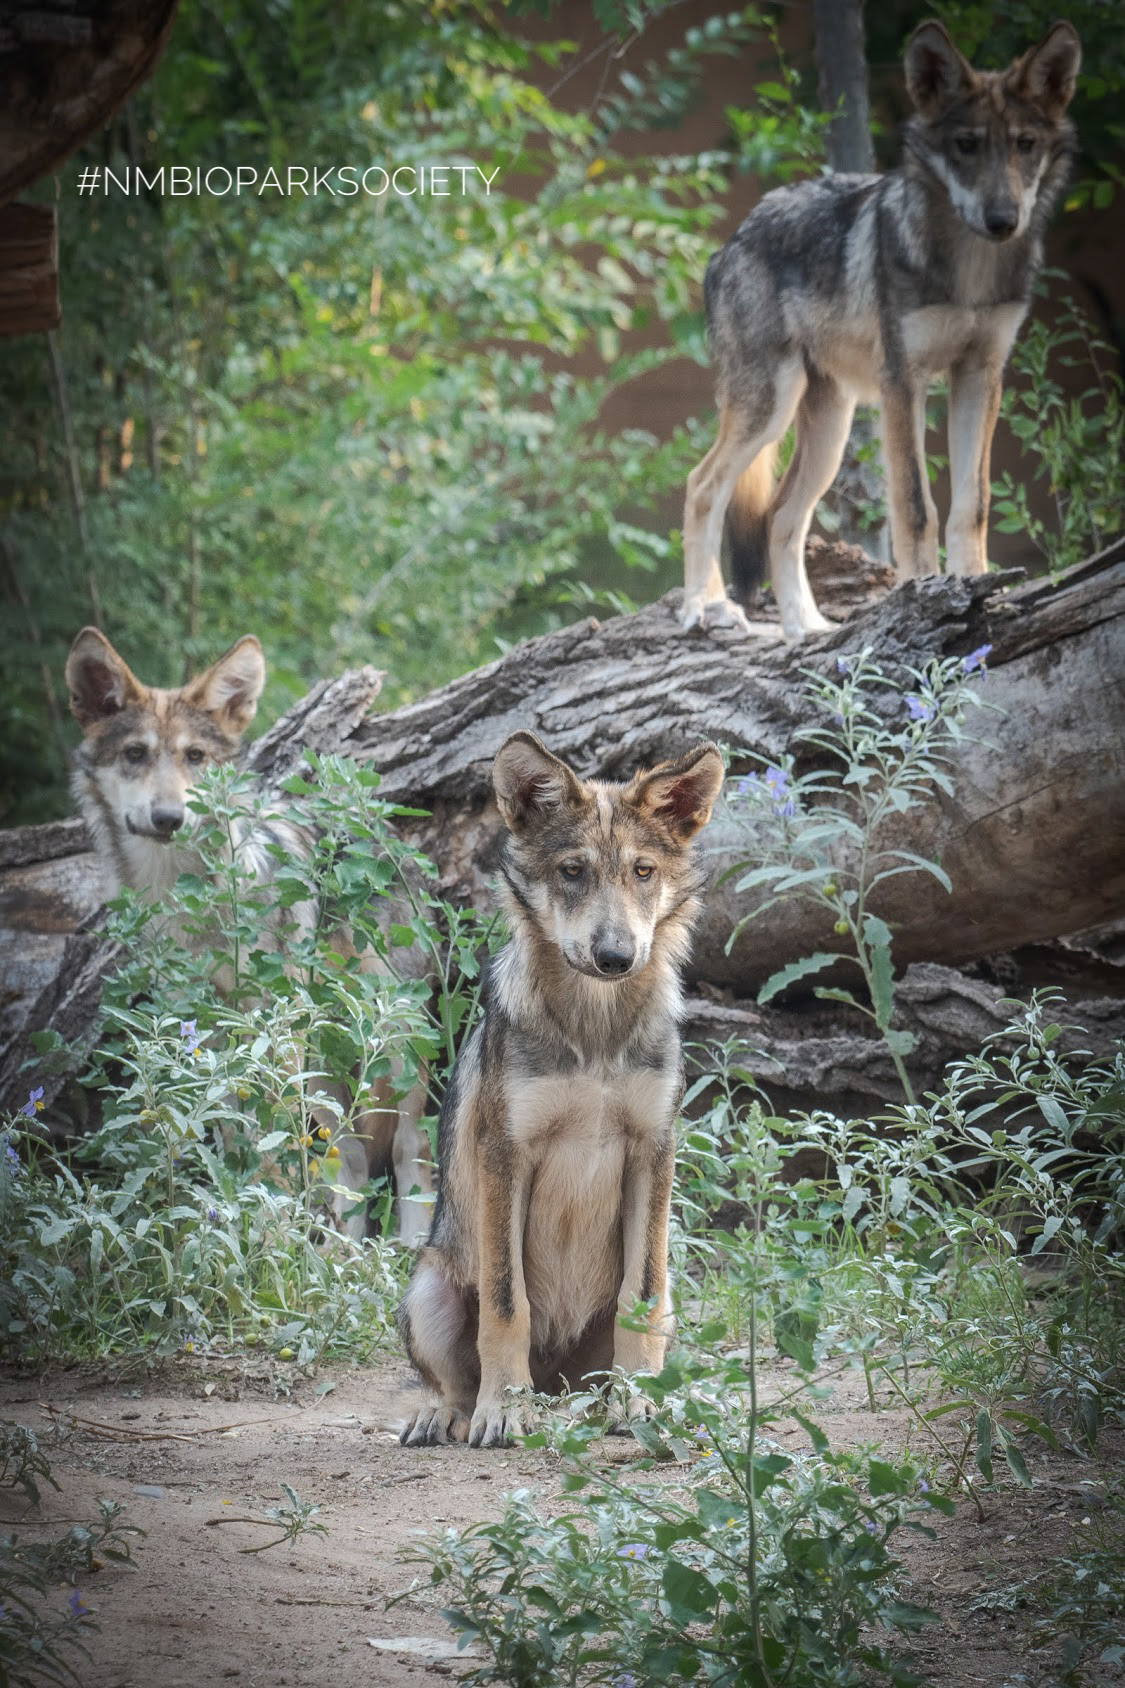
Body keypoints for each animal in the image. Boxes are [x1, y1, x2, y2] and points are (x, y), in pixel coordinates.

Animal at [65, 625, 432, 1243]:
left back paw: (407, 1257)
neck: (181, 894)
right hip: (329, 1063)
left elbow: (271, 1151)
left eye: (195, 757)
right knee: (353, 1163)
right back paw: (348, 1257)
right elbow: (237, 1136)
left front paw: (267, 1237)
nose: (169, 818)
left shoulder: (271, 1034)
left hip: (391, 1056)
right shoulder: (211, 1034)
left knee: (412, 1153)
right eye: (135, 754)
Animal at [397, 730, 725, 1449]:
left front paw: (640, 1402)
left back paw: (623, 1400)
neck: (594, 1032)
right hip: (427, 1287)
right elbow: (506, 1302)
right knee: (448, 1383)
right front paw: (504, 1407)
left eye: (642, 872)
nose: (615, 956)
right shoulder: (506, 1156)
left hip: (666, 1305)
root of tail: (556, 1385)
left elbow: (639, 1295)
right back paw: (448, 1413)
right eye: (572, 871)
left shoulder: (652, 1151)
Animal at [681, 18, 1081, 640]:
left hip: (829, 429)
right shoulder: (902, 382)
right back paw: (705, 607)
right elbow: (916, 507)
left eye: (1025, 145)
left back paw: (806, 629)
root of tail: (732, 239)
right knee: (702, 488)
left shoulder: (980, 375)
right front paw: (923, 597)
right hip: (770, 410)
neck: (968, 270)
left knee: (780, 517)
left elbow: (972, 504)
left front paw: (981, 595)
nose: (1002, 220)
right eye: (967, 145)